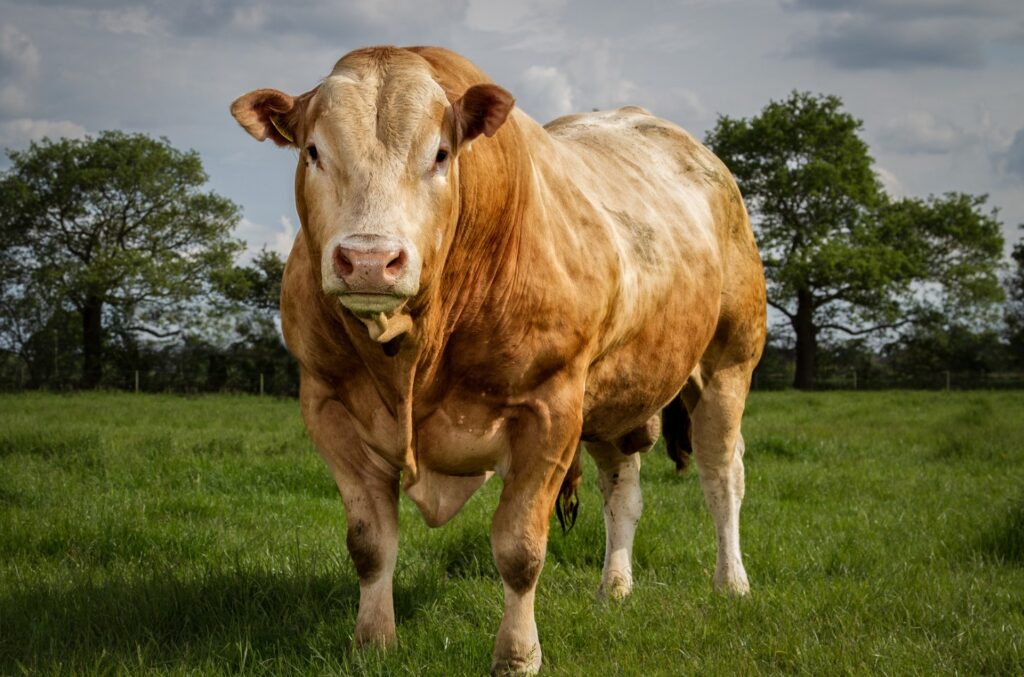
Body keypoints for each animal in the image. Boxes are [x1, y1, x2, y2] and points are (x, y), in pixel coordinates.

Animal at [231, 46, 766, 674]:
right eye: (313, 151)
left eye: (440, 154)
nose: (368, 261)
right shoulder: (327, 406)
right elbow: (369, 544)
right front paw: (373, 643)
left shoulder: (551, 410)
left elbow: (519, 548)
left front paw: (517, 655)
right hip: (617, 393)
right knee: (623, 493)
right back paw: (614, 588)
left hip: (728, 363)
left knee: (722, 476)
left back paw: (732, 583)